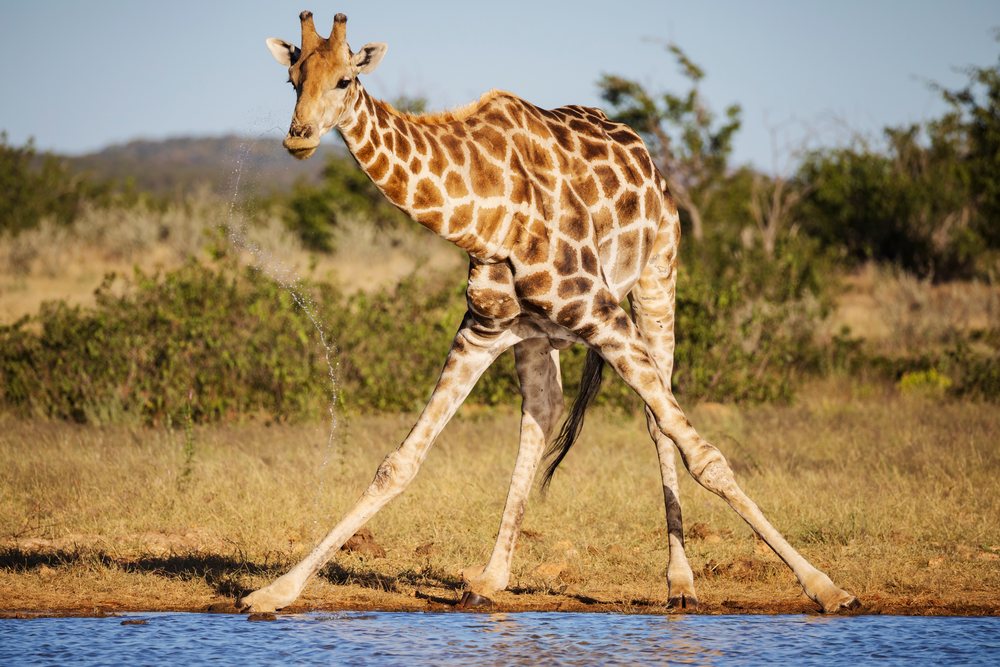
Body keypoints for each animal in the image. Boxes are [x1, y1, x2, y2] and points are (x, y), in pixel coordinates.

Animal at [241, 10, 860, 614]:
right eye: (293, 80)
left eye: (345, 80)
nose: (298, 139)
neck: (484, 217)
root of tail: (648, 158)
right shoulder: (483, 329)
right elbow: (399, 463)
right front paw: (274, 591)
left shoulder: (601, 310)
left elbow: (703, 454)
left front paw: (827, 587)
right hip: (539, 337)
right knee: (542, 415)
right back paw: (490, 580)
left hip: (656, 281)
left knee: (656, 422)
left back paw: (681, 585)